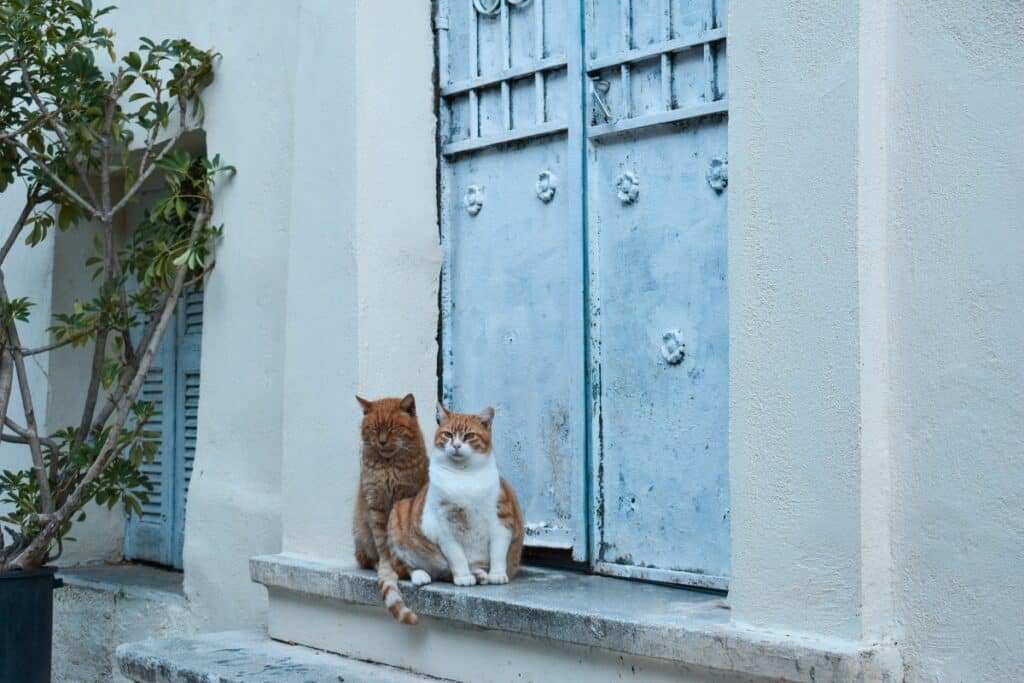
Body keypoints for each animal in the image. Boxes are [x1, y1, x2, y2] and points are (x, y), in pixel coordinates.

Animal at [352, 395, 428, 626]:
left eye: (394, 428)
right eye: (374, 429)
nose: (382, 441)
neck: (388, 465)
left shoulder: (406, 499)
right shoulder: (375, 505)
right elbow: (383, 543)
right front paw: (388, 566)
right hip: (361, 533)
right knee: (367, 559)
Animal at [385, 405, 528, 626]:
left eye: (469, 436)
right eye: (448, 434)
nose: (456, 445)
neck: (463, 475)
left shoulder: (502, 522)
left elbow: (497, 552)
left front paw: (496, 574)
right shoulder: (444, 530)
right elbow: (458, 556)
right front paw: (463, 576)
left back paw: (480, 574)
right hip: (397, 517)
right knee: (404, 567)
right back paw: (422, 575)